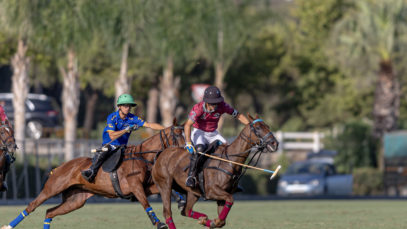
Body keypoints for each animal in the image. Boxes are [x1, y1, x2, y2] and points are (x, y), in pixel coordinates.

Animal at [0, 121, 186, 228]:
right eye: (177, 136)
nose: (188, 150)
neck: (142, 156)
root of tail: (59, 167)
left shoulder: (146, 187)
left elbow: (165, 190)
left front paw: (181, 201)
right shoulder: (135, 186)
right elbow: (146, 203)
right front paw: (159, 223)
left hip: (76, 200)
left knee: (49, 212)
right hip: (52, 189)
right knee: (32, 206)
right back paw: (8, 226)